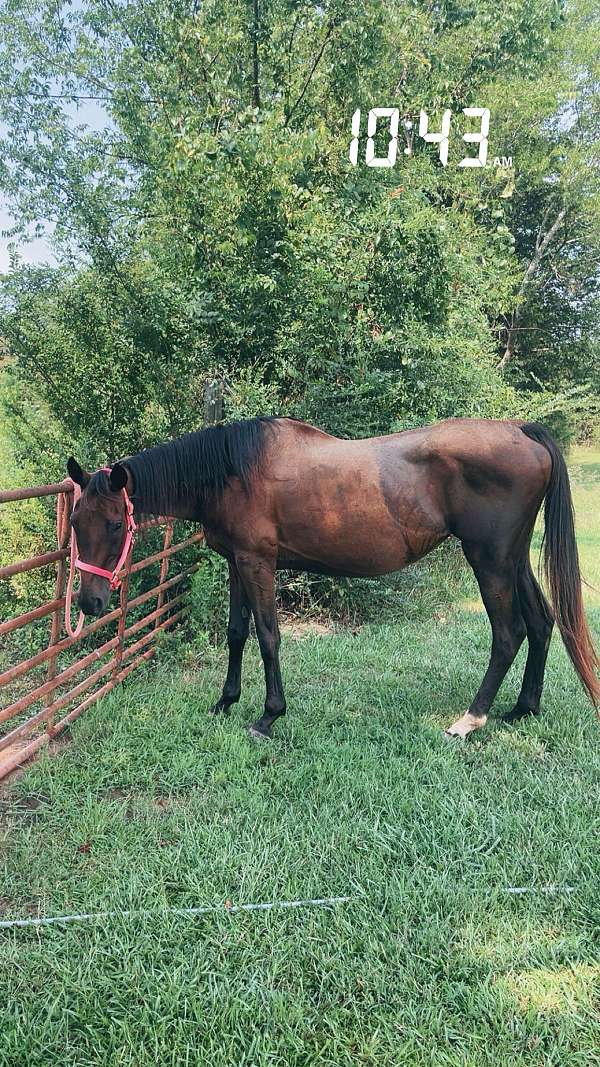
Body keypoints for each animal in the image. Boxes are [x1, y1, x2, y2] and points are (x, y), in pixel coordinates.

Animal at [67, 416, 599, 740]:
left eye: (114, 525)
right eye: (74, 522)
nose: (90, 604)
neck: (232, 471)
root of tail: (523, 432)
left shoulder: (258, 563)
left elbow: (268, 636)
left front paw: (269, 714)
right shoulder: (237, 563)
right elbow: (237, 633)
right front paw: (226, 701)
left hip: (489, 562)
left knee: (508, 634)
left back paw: (470, 719)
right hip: (513, 560)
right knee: (542, 622)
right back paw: (522, 708)